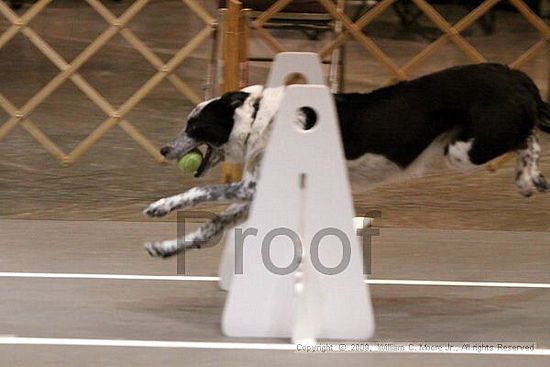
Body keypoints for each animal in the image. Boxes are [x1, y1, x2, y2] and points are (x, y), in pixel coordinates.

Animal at [143, 64, 550, 258]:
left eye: (194, 125)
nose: (163, 150)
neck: (259, 117)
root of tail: (514, 75)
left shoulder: (252, 185)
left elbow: (201, 191)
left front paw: (161, 205)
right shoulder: (257, 191)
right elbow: (211, 226)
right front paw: (166, 248)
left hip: (465, 151)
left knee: (528, 135)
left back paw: (528, 175)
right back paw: (531, 178)